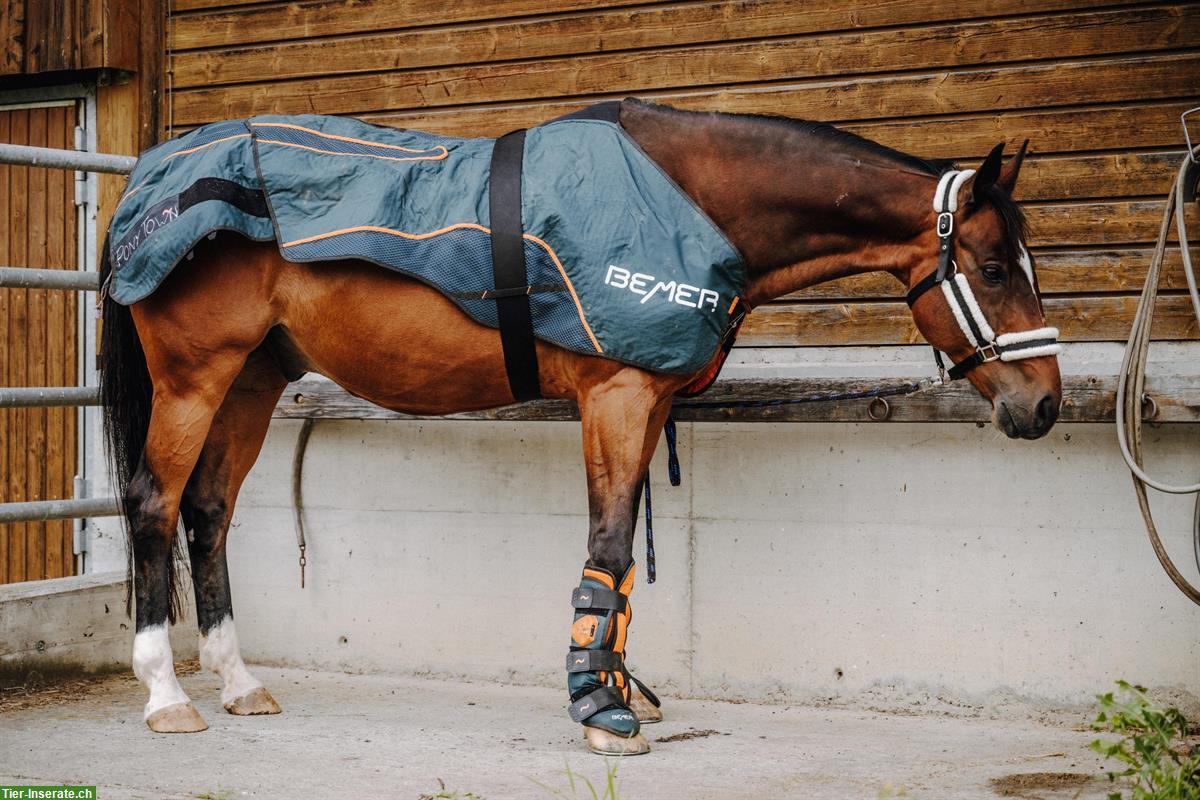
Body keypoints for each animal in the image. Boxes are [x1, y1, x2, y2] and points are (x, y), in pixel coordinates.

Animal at [98, 97, 1062, 756]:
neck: (686, 198)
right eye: (993, 266)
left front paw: (614, 687)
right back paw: (166, 695)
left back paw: (238, 682)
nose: (1045, 404)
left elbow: (623, 559)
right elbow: (608, 545)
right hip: (194, 379)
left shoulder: (651, 404)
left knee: (208, 512)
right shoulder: (617, 397)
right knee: (153, 504)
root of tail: (151, 177)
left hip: (254, 378)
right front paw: (599, 709)